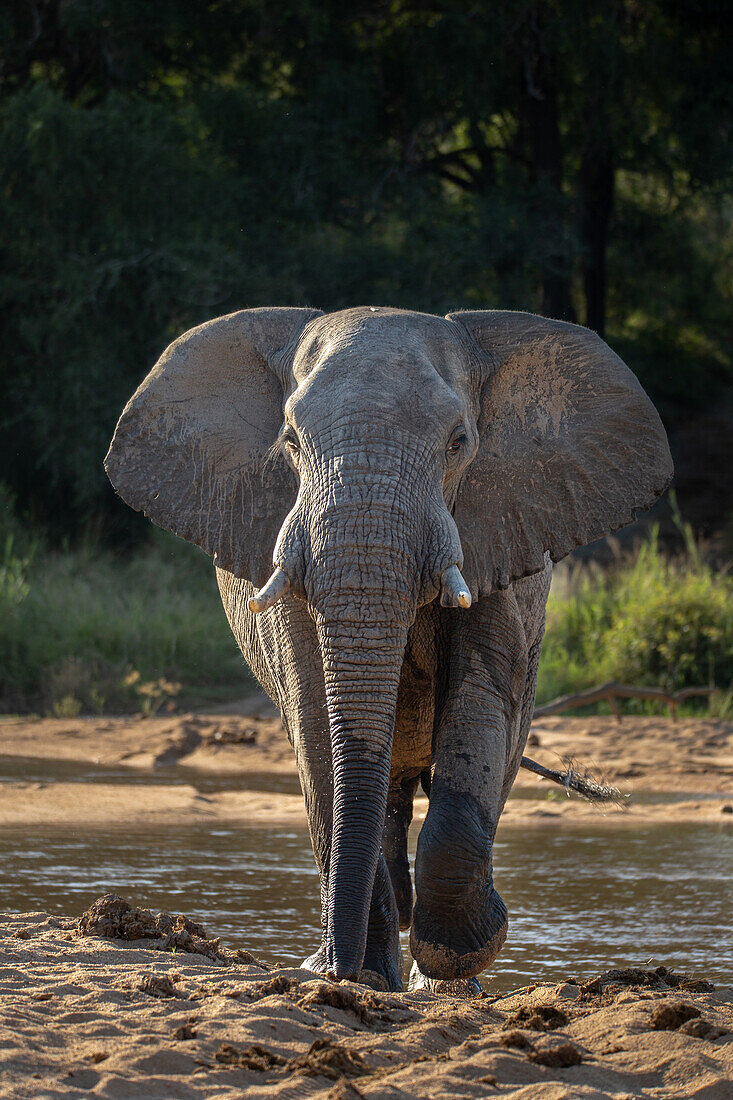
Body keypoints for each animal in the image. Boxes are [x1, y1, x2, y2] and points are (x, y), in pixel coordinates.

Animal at [105, 305, 669, 994]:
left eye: (459, 442)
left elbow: (480, 701)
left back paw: (441, 981)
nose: (337, 973)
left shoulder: (499, 538)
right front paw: (361, 976)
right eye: (290, 441)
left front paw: (460, 953)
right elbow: (318, 722)